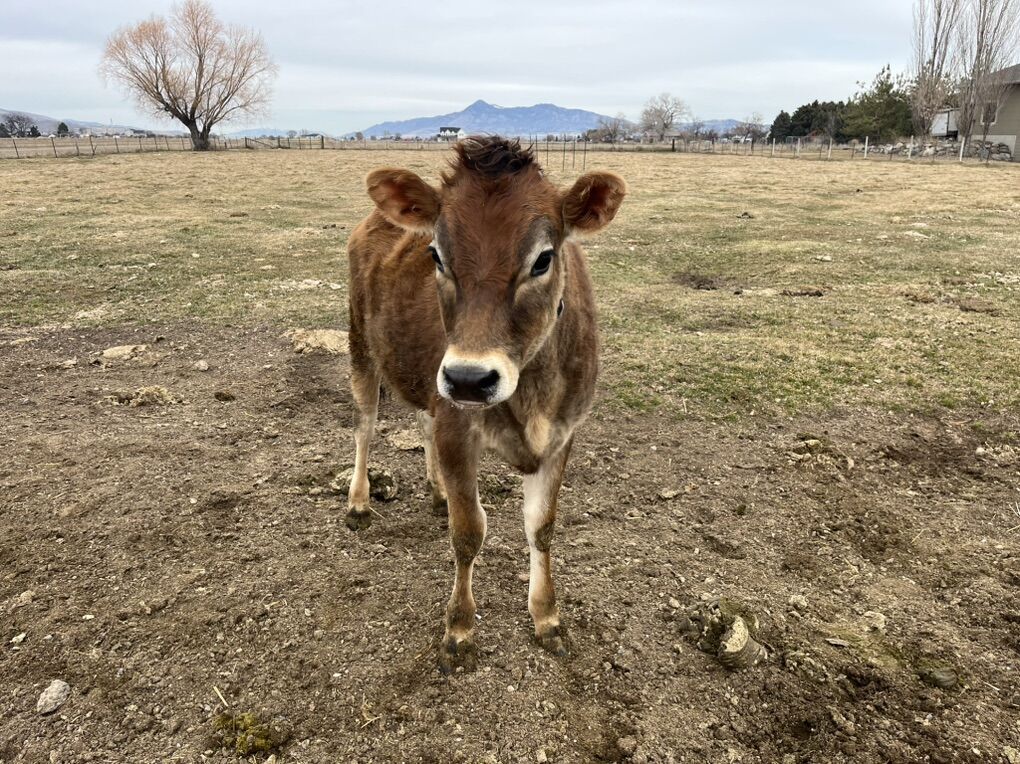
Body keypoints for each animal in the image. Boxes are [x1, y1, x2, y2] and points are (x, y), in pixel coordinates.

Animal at [345, 136, 626, 672]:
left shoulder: (563, 434)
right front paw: (459, 629)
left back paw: (435, 492)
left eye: (543, 259)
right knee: (365, 428)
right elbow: (469, 532)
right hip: (362, 347)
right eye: (435, 254)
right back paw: (358, 502)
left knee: (420, 421)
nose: (470, 379)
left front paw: (547, 618)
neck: (532, 396)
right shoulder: (457, 426)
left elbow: (542, 527)